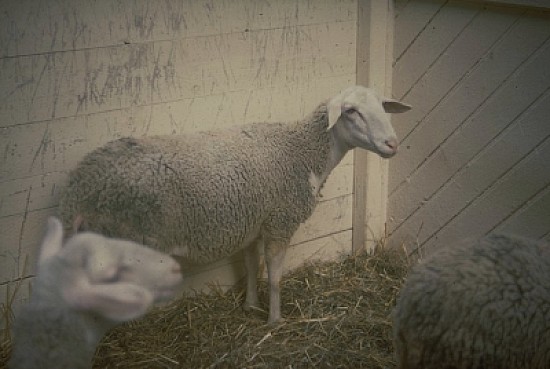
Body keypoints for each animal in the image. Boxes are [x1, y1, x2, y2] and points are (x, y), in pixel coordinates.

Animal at [61, 86, 414, 322]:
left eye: (383, 108)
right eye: (352, 112)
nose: (392, 144)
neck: (302, 151)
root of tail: (79, 187)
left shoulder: (253, 221)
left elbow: (250, 265)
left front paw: (251, 306)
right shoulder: (280, 221)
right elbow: (275, 277)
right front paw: (274, 321)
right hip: (124, 241)